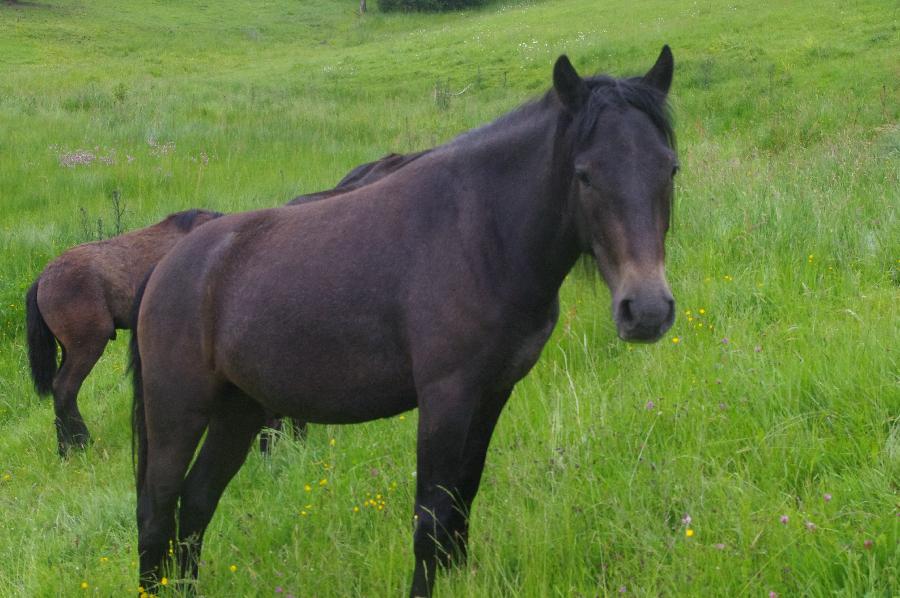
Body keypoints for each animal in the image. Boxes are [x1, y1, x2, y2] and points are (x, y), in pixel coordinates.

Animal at [126, 48, 676, 598]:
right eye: (584, 174)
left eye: (670, 168)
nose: (647, 309)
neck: (480, 234)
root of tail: (165, 269)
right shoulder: (445, 396)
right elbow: (431, 516)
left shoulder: (491, 393)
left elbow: (462, 500)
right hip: (178, 413)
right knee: (158, 513)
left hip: (238, 410)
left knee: (196, 505)